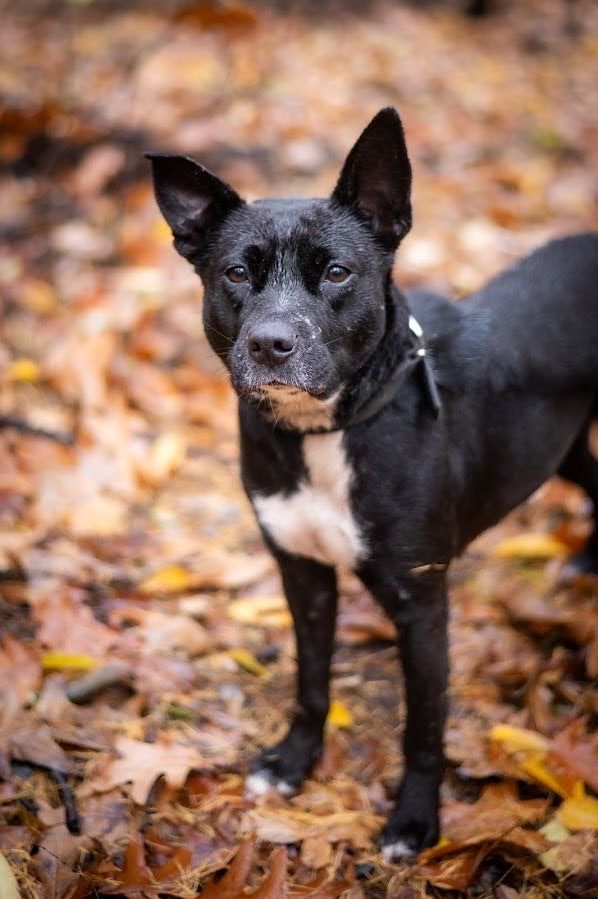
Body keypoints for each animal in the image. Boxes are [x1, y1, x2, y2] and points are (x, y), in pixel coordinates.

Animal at [146, 109, 598, 860]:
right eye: (236, 272)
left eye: (336, 271)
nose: (270, 343)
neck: (326, 431)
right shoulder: (301, 572)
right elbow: (311, 681)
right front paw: (293, 763)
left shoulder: (422, 604)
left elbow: (424, 726)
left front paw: (414, 820)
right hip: (559, 444)